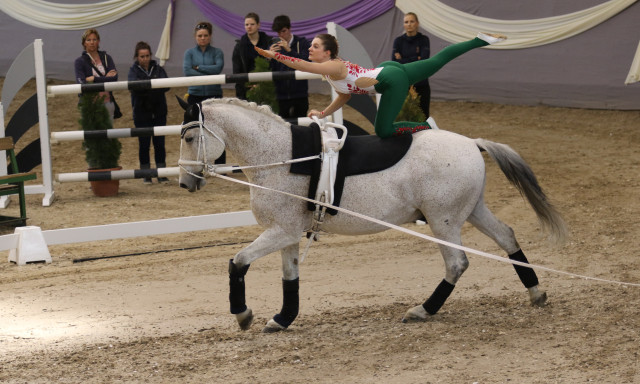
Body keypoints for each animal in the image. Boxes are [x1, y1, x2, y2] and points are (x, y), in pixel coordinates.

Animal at [175, 98, 564, 332]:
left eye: (190, 137)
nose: (184, 182)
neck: (282, 156)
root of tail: (471, 142)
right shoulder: (287, 234)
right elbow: (290, 278)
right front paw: (282, 319)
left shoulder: (280, 232)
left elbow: (237, 262)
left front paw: (243, 315)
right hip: (470, 211)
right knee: (507, 237)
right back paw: (536, 293)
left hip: (444, 220)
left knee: (457, 264)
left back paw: (422, 310)